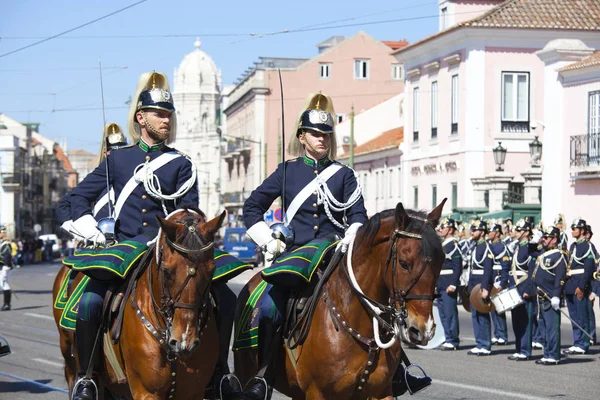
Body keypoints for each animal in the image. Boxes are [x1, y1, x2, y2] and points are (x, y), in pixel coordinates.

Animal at [51, 208, 225, 398]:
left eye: (212, 271)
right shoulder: (146, 392)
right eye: (167, 271)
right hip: (69, 355)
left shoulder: (192, 392)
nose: (184, 340)